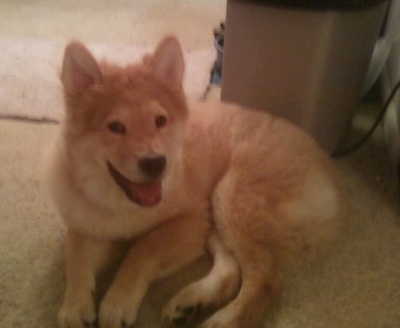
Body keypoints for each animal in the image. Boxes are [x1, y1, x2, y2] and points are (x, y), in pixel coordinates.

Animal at [47, 36, 346, 328]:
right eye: (115, 127)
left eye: (160, 121)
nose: (156, 163)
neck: (124, 204)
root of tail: (325, 165)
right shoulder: (88, 224)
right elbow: (76, 257)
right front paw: (74, 305)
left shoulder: (193, 220)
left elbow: (143, 247)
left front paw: (118, 300)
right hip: (221, 219)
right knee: (231, 270)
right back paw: (192, 302)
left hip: (232, 198)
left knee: (268, 280)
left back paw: (225, 320)